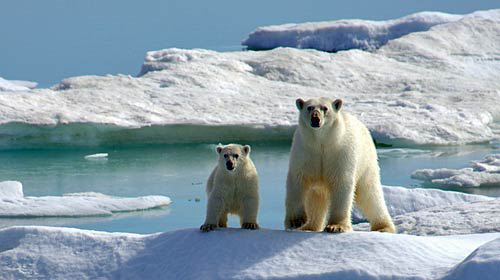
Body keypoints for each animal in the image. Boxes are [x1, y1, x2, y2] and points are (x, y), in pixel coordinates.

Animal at [286, 97, 394, 233]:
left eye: (325, 108)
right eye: (309, 108)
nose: (315, 118)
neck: (321, 143)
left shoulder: (340, 153)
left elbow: (341, 182)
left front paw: (336, 226)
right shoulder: (304, 152)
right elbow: (298, 181)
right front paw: (296, 221)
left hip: (366, 163)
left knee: (370, 194)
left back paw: (383, 227)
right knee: (316, 198)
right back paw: (309, 227)